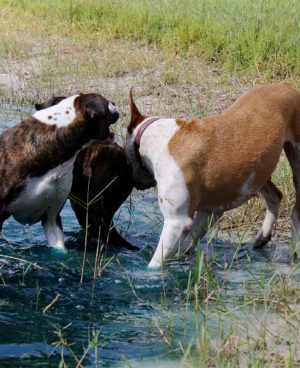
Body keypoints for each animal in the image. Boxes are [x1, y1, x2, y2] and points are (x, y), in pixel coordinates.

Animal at [125, 82, 300, 268]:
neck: (158, 139)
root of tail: (285, 85)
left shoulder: (176, 222)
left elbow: (156, 262)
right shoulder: (208, 212)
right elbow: (189, 242)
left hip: (296, 160)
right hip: (258, 170)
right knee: (274, 195)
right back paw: (263, 235)